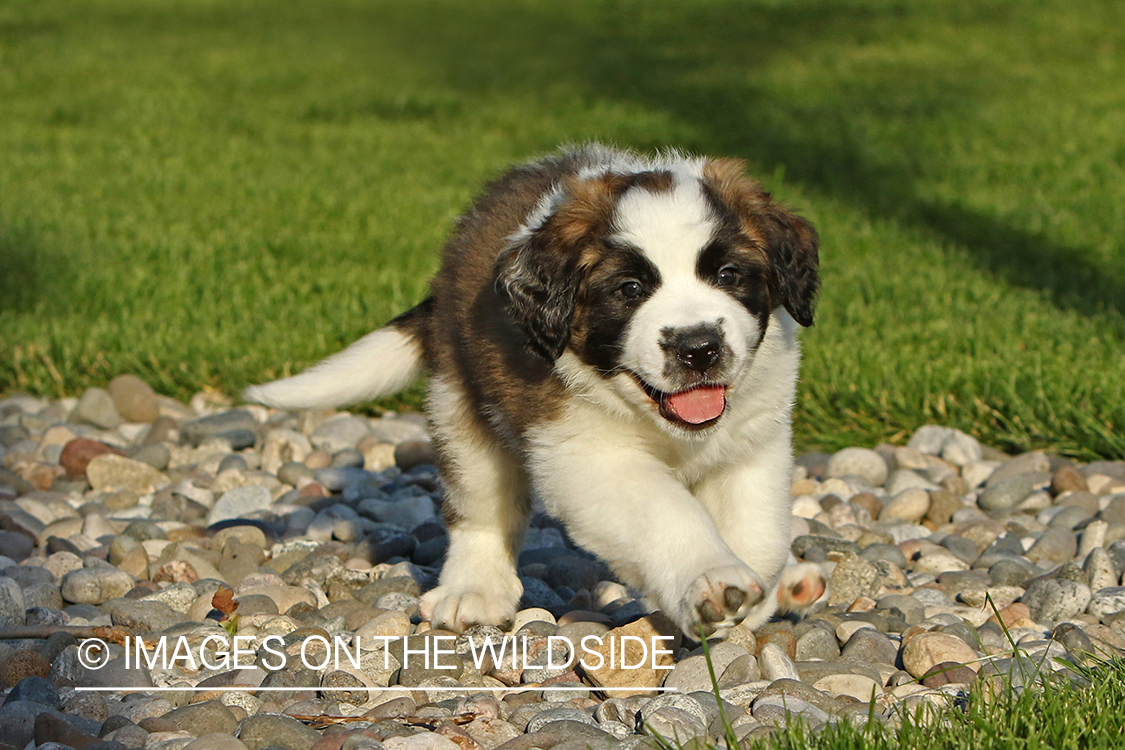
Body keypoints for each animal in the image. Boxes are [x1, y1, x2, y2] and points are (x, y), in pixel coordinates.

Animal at [248, 143, 828, 638]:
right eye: (630, 289)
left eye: (728, 274)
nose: (698, 347)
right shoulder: (585, 455)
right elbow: (666, 512)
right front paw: (711, 580)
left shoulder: (754, 441)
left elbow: (758, 527)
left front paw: (756, 593)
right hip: (462, 408)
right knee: (480, 506)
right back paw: (474, 590)